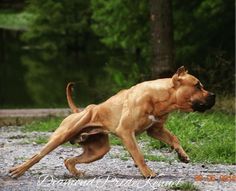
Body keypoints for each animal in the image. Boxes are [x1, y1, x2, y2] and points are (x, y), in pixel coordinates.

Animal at [9, 66, 216, 178]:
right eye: (197, 85)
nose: (214, 95)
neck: (160, 97)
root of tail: (79, 111)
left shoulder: (156, 129)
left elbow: (174, 138)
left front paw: (182, 155)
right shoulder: (126, 132)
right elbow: (139, 154)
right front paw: (147, 172)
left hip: (98, 150)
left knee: (68, 160)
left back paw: (76, 173)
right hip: (61, 137)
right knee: (37, 156)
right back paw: (17, 170)